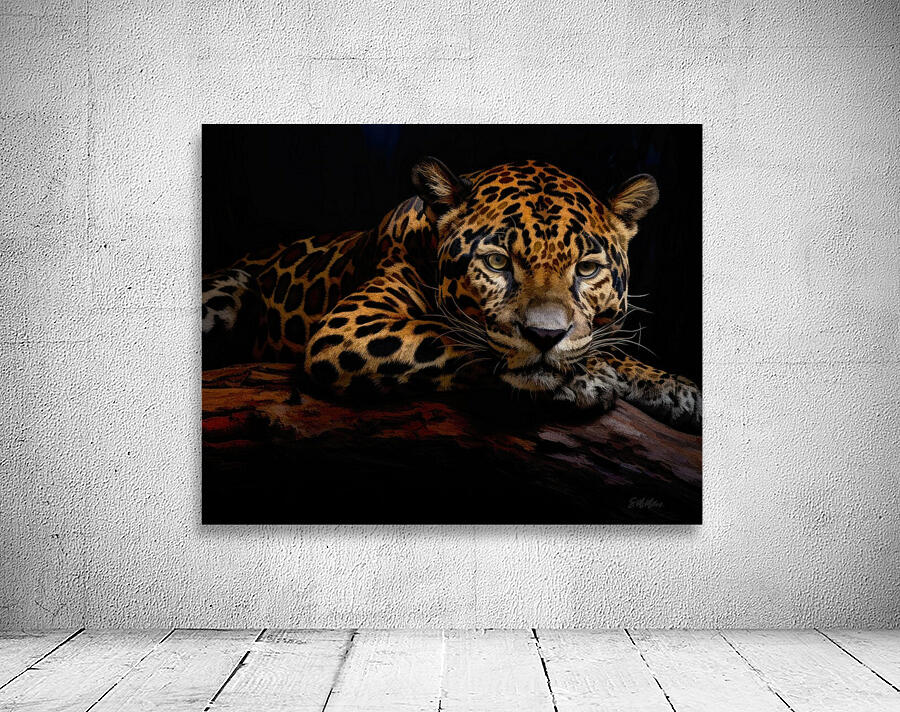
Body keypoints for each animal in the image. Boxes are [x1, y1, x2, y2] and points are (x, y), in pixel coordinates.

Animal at [202, 158, 702, 432]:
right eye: (497, 262)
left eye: (587, 269)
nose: (545, 337)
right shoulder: (347, 329)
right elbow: (454, 336)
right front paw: (583, 377)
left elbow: (602, 344)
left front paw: (669, 385)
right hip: (232, 284)